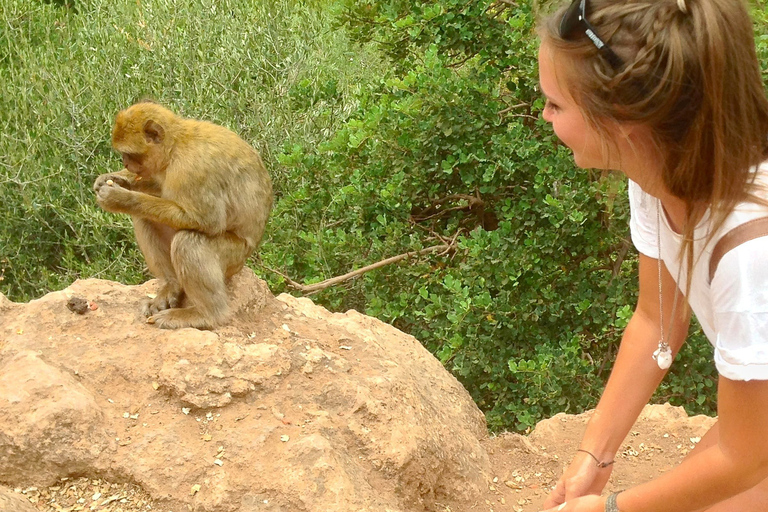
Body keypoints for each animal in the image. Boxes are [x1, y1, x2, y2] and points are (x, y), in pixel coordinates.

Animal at [94, 102, 272, 330]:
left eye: (130, 154)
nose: (125, 164)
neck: (175, 146)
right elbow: (156, 185)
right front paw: (112, 179)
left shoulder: (193, 170)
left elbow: (208, 221)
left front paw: (120, 198)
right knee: (144, 218)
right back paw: (172, 285)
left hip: (234, 259)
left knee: (188, 242)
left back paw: (206, 315)